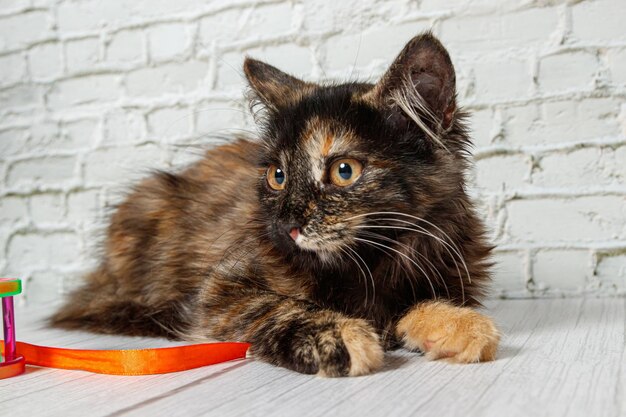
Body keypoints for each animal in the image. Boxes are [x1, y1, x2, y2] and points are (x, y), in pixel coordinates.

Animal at [54, 32, 502, 376]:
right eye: (278, 176)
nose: (287, 224)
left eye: (344, 171)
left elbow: (421, 303)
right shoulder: (220, 291)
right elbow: (280, 306)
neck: (369, 262)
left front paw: (461, 326)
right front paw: (335, 335)